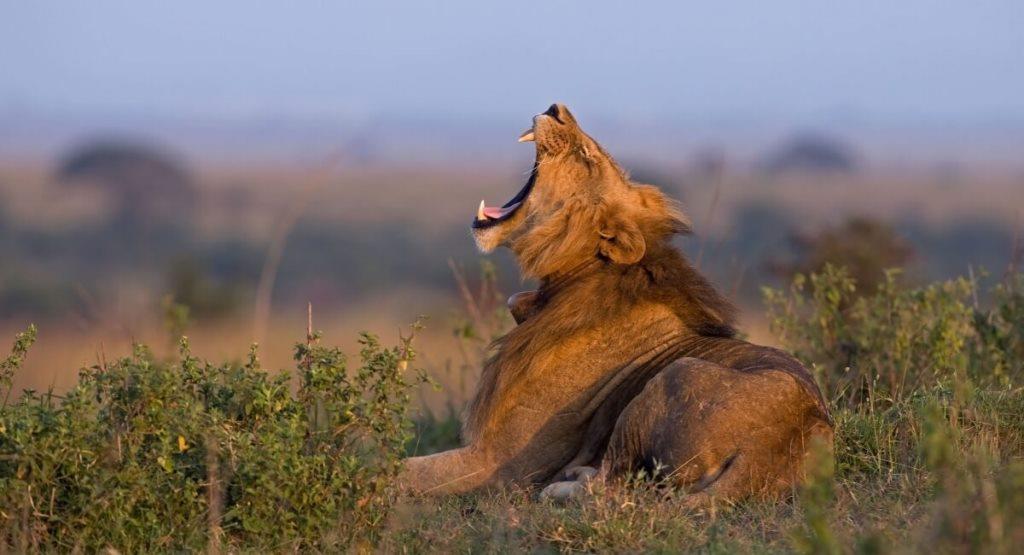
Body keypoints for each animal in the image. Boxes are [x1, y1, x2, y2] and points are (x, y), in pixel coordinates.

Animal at [401, 104, 833, 503]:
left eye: (587, 157)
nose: (557, 108)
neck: (568, 280)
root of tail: (782, 440)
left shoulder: (501, 463)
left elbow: (399, 471)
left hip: (671, 378)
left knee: (613, 485)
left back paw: (565, 486)